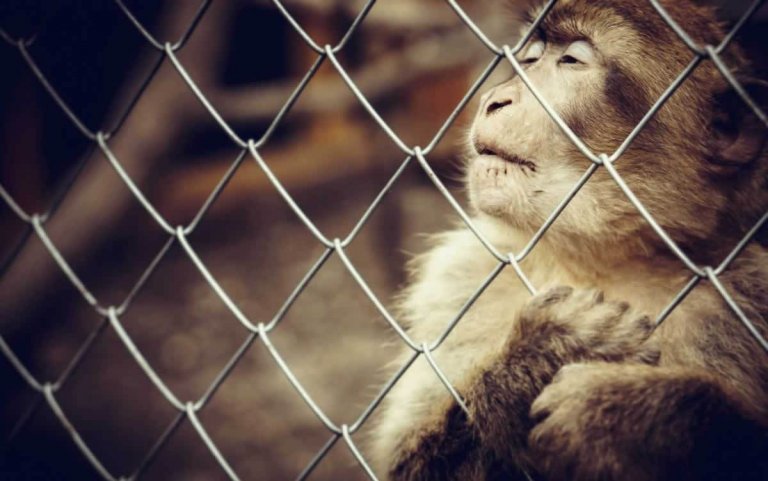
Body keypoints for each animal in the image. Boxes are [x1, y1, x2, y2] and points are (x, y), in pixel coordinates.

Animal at [370, 0, 768, 480]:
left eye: (572, 60)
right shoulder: (460, 275)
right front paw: (543, 356)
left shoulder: (745, 292)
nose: (494, 99)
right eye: (531, 56)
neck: (601, 259)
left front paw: (632, 420)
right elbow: (405, 463)